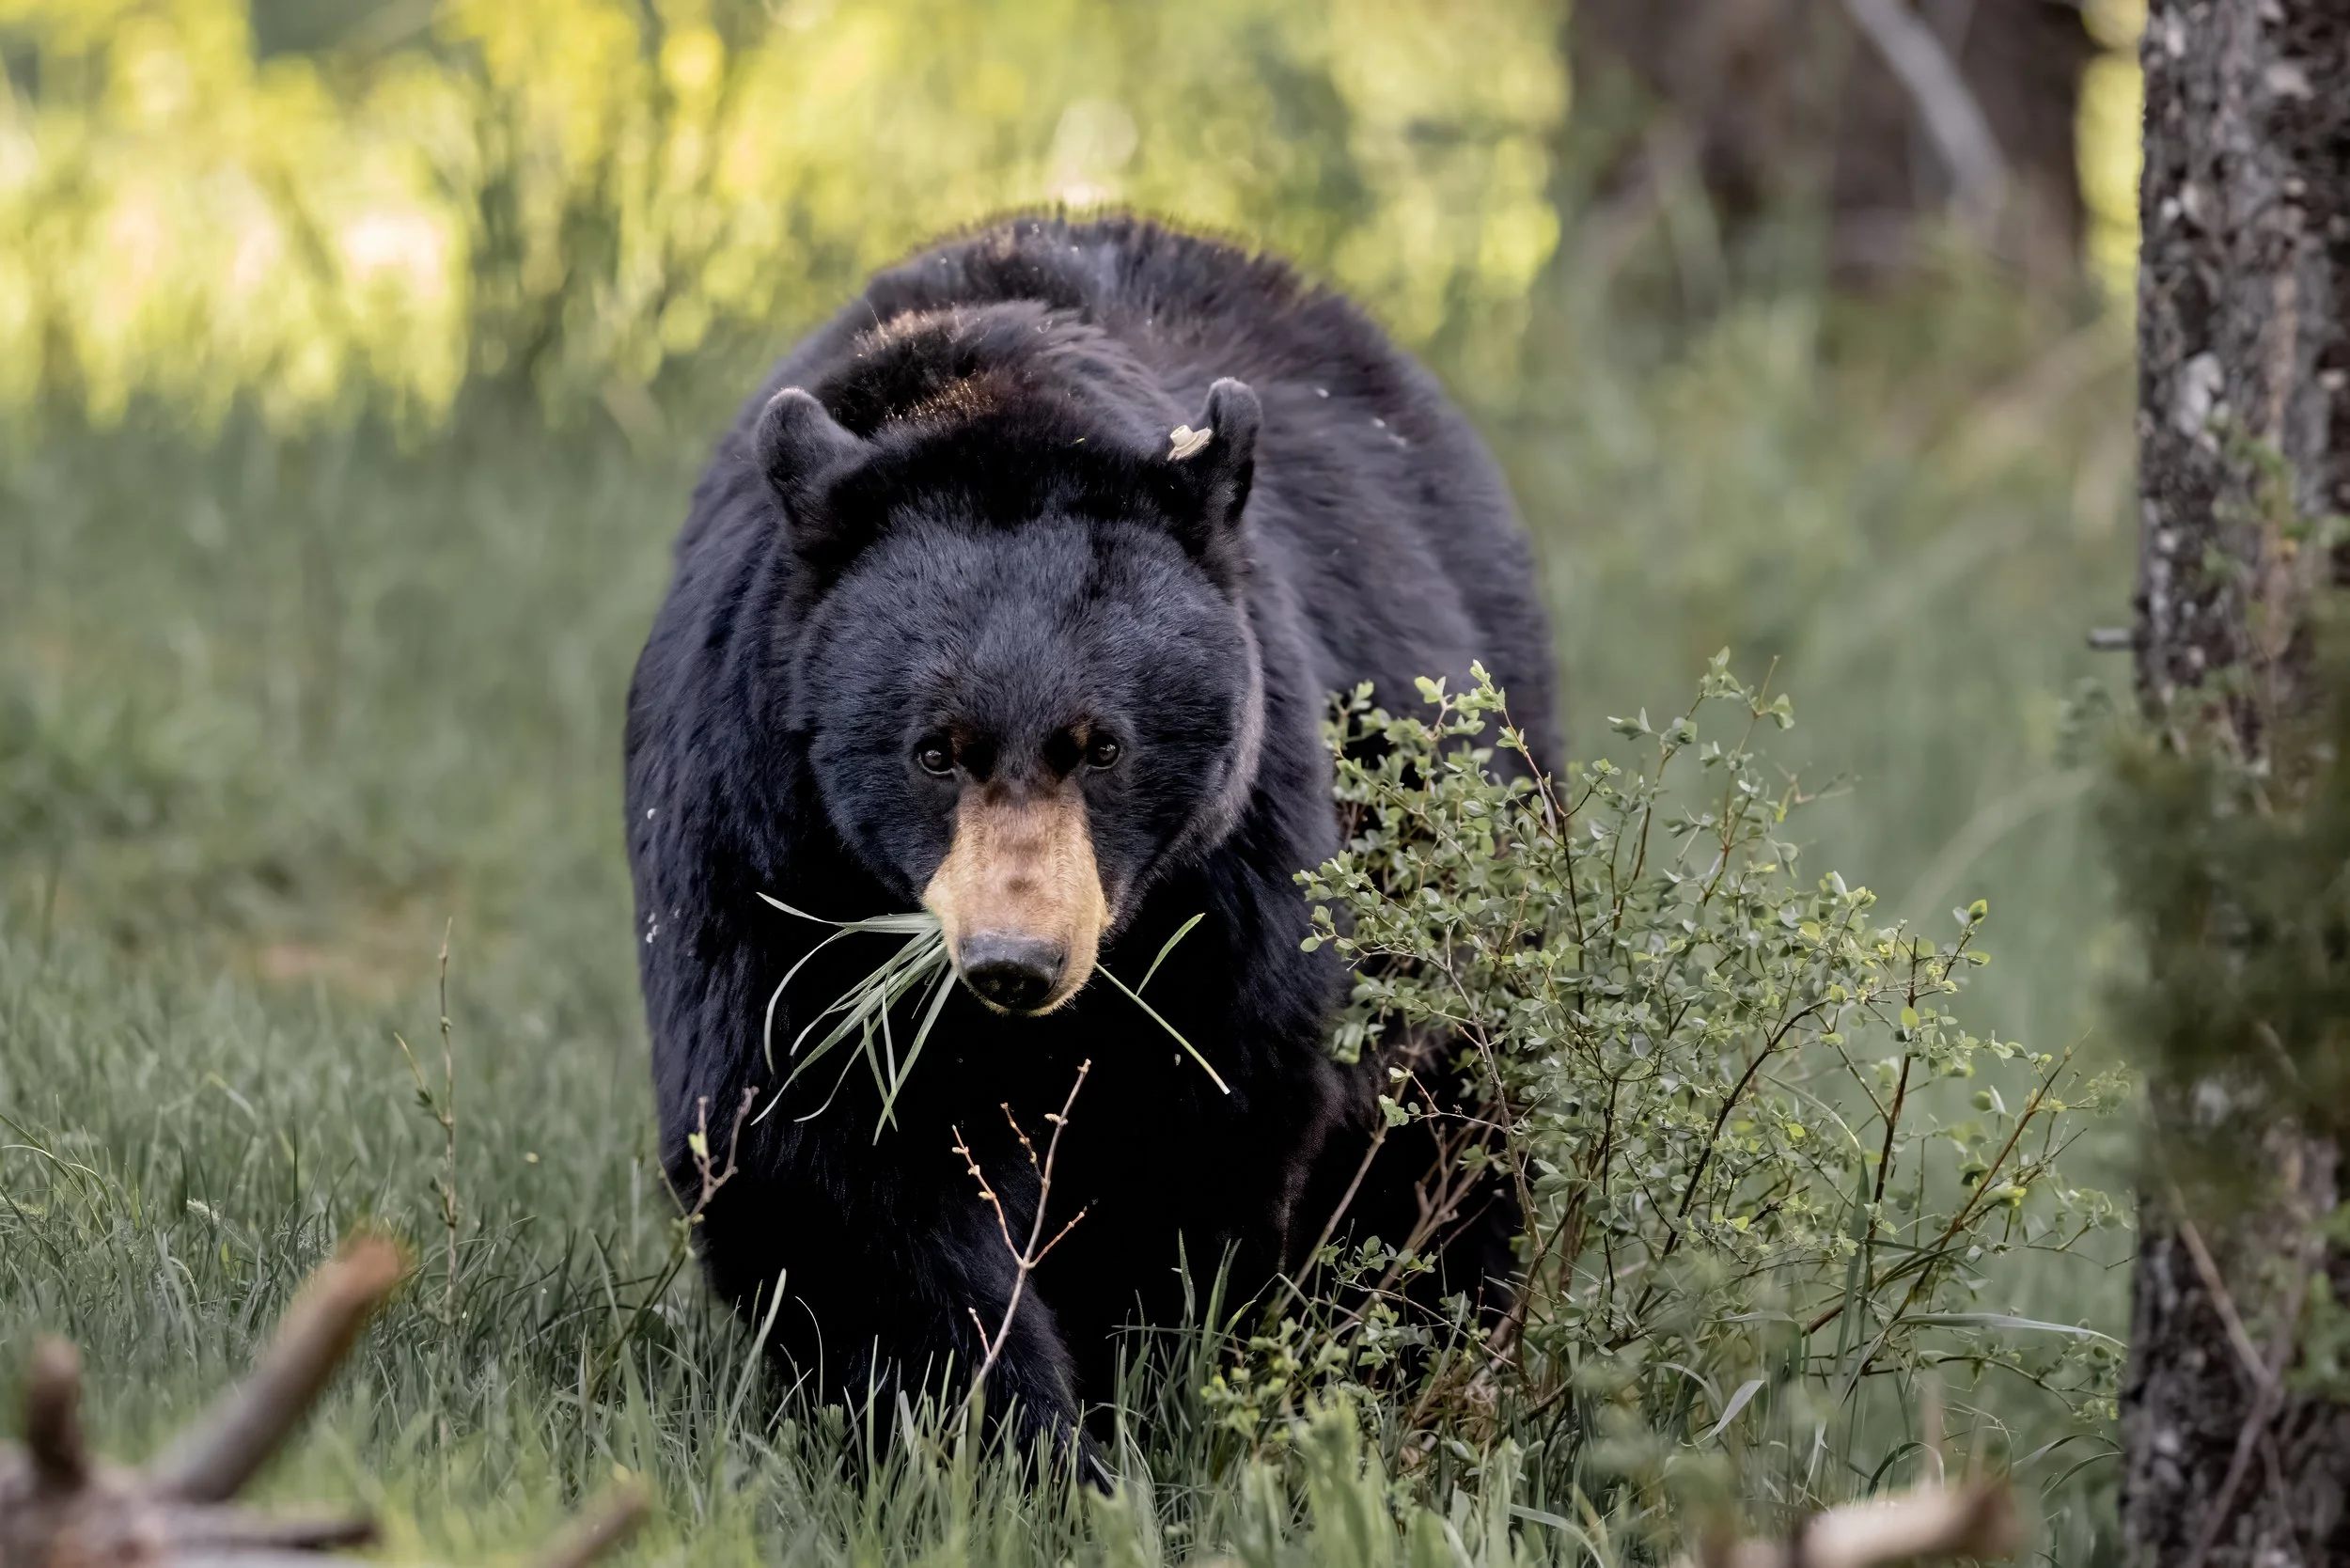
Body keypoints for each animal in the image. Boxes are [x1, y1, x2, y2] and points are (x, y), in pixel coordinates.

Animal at [623, 214, 1556, 1471]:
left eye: (1101, 746)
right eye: (935, 751)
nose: (1016, 961)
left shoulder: (1233, 866)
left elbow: (1197, 1120)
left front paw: (1123, 1396)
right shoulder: (762, 832)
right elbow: (814, 1140)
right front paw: (993, 1436)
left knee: (1449, 1124)